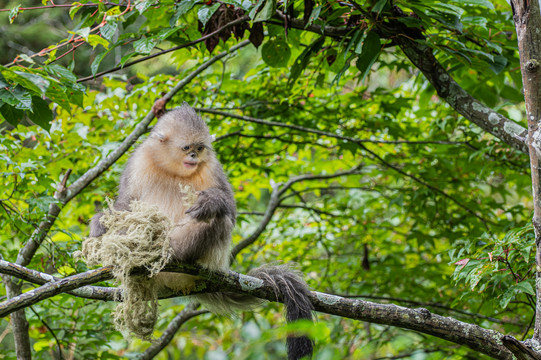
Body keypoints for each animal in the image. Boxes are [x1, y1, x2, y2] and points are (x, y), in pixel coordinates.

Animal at [89, 104, 312, 360]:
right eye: (187, 148)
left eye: (199, 148)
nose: (194, 157)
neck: (173, 168)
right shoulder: (139, 160)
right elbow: (126, 204)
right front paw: (100, 224)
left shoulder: (212, 165)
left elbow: (229, 209)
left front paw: (211, 202)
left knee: (219, 220)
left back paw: (176, 253)